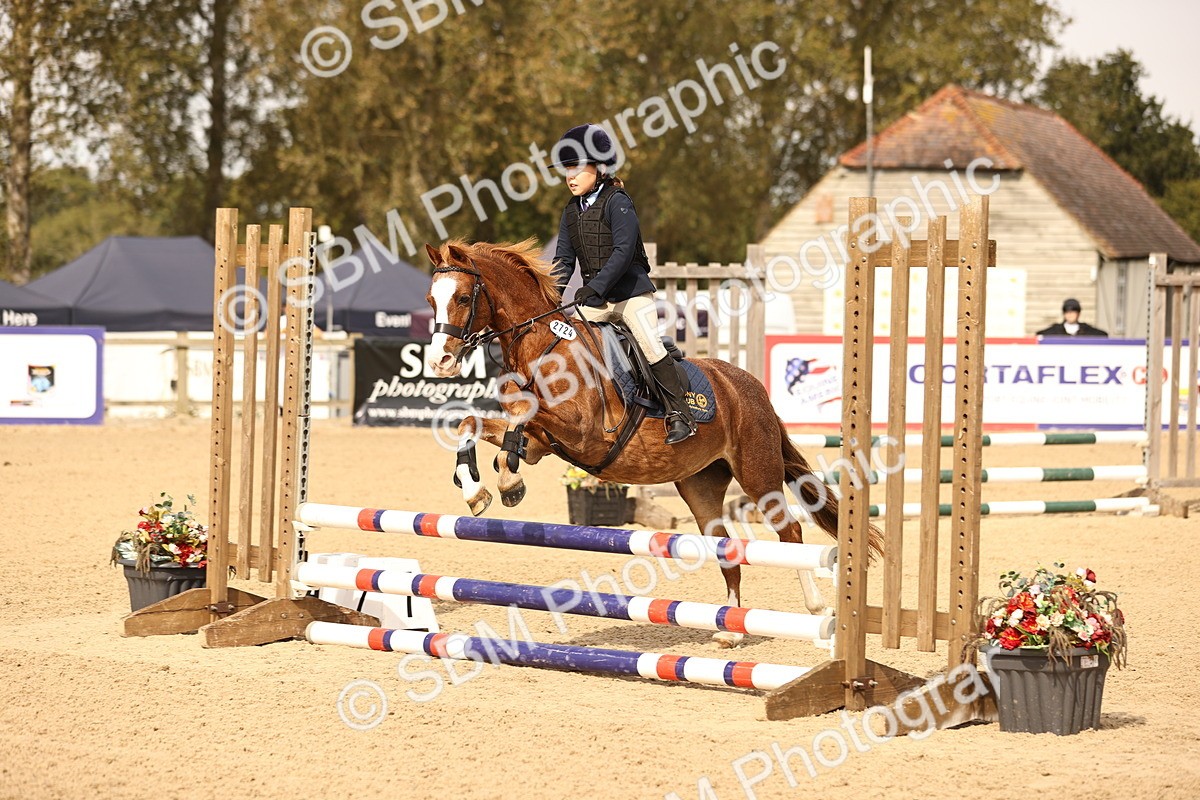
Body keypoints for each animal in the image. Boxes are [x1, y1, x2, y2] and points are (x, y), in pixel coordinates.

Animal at [423, 238, 882, 646]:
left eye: (461, 297)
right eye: (430, 300)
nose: (440, 362)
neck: (543, 347)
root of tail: (751, 388)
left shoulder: (582, 433)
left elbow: (520, 417)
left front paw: (504, 482)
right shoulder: (543, 443)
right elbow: (475, 423)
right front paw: (483, 489)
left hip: (757, 474)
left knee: (790, 532)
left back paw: (817, 608)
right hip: (700, 486)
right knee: (726, 546)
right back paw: (731, 630)